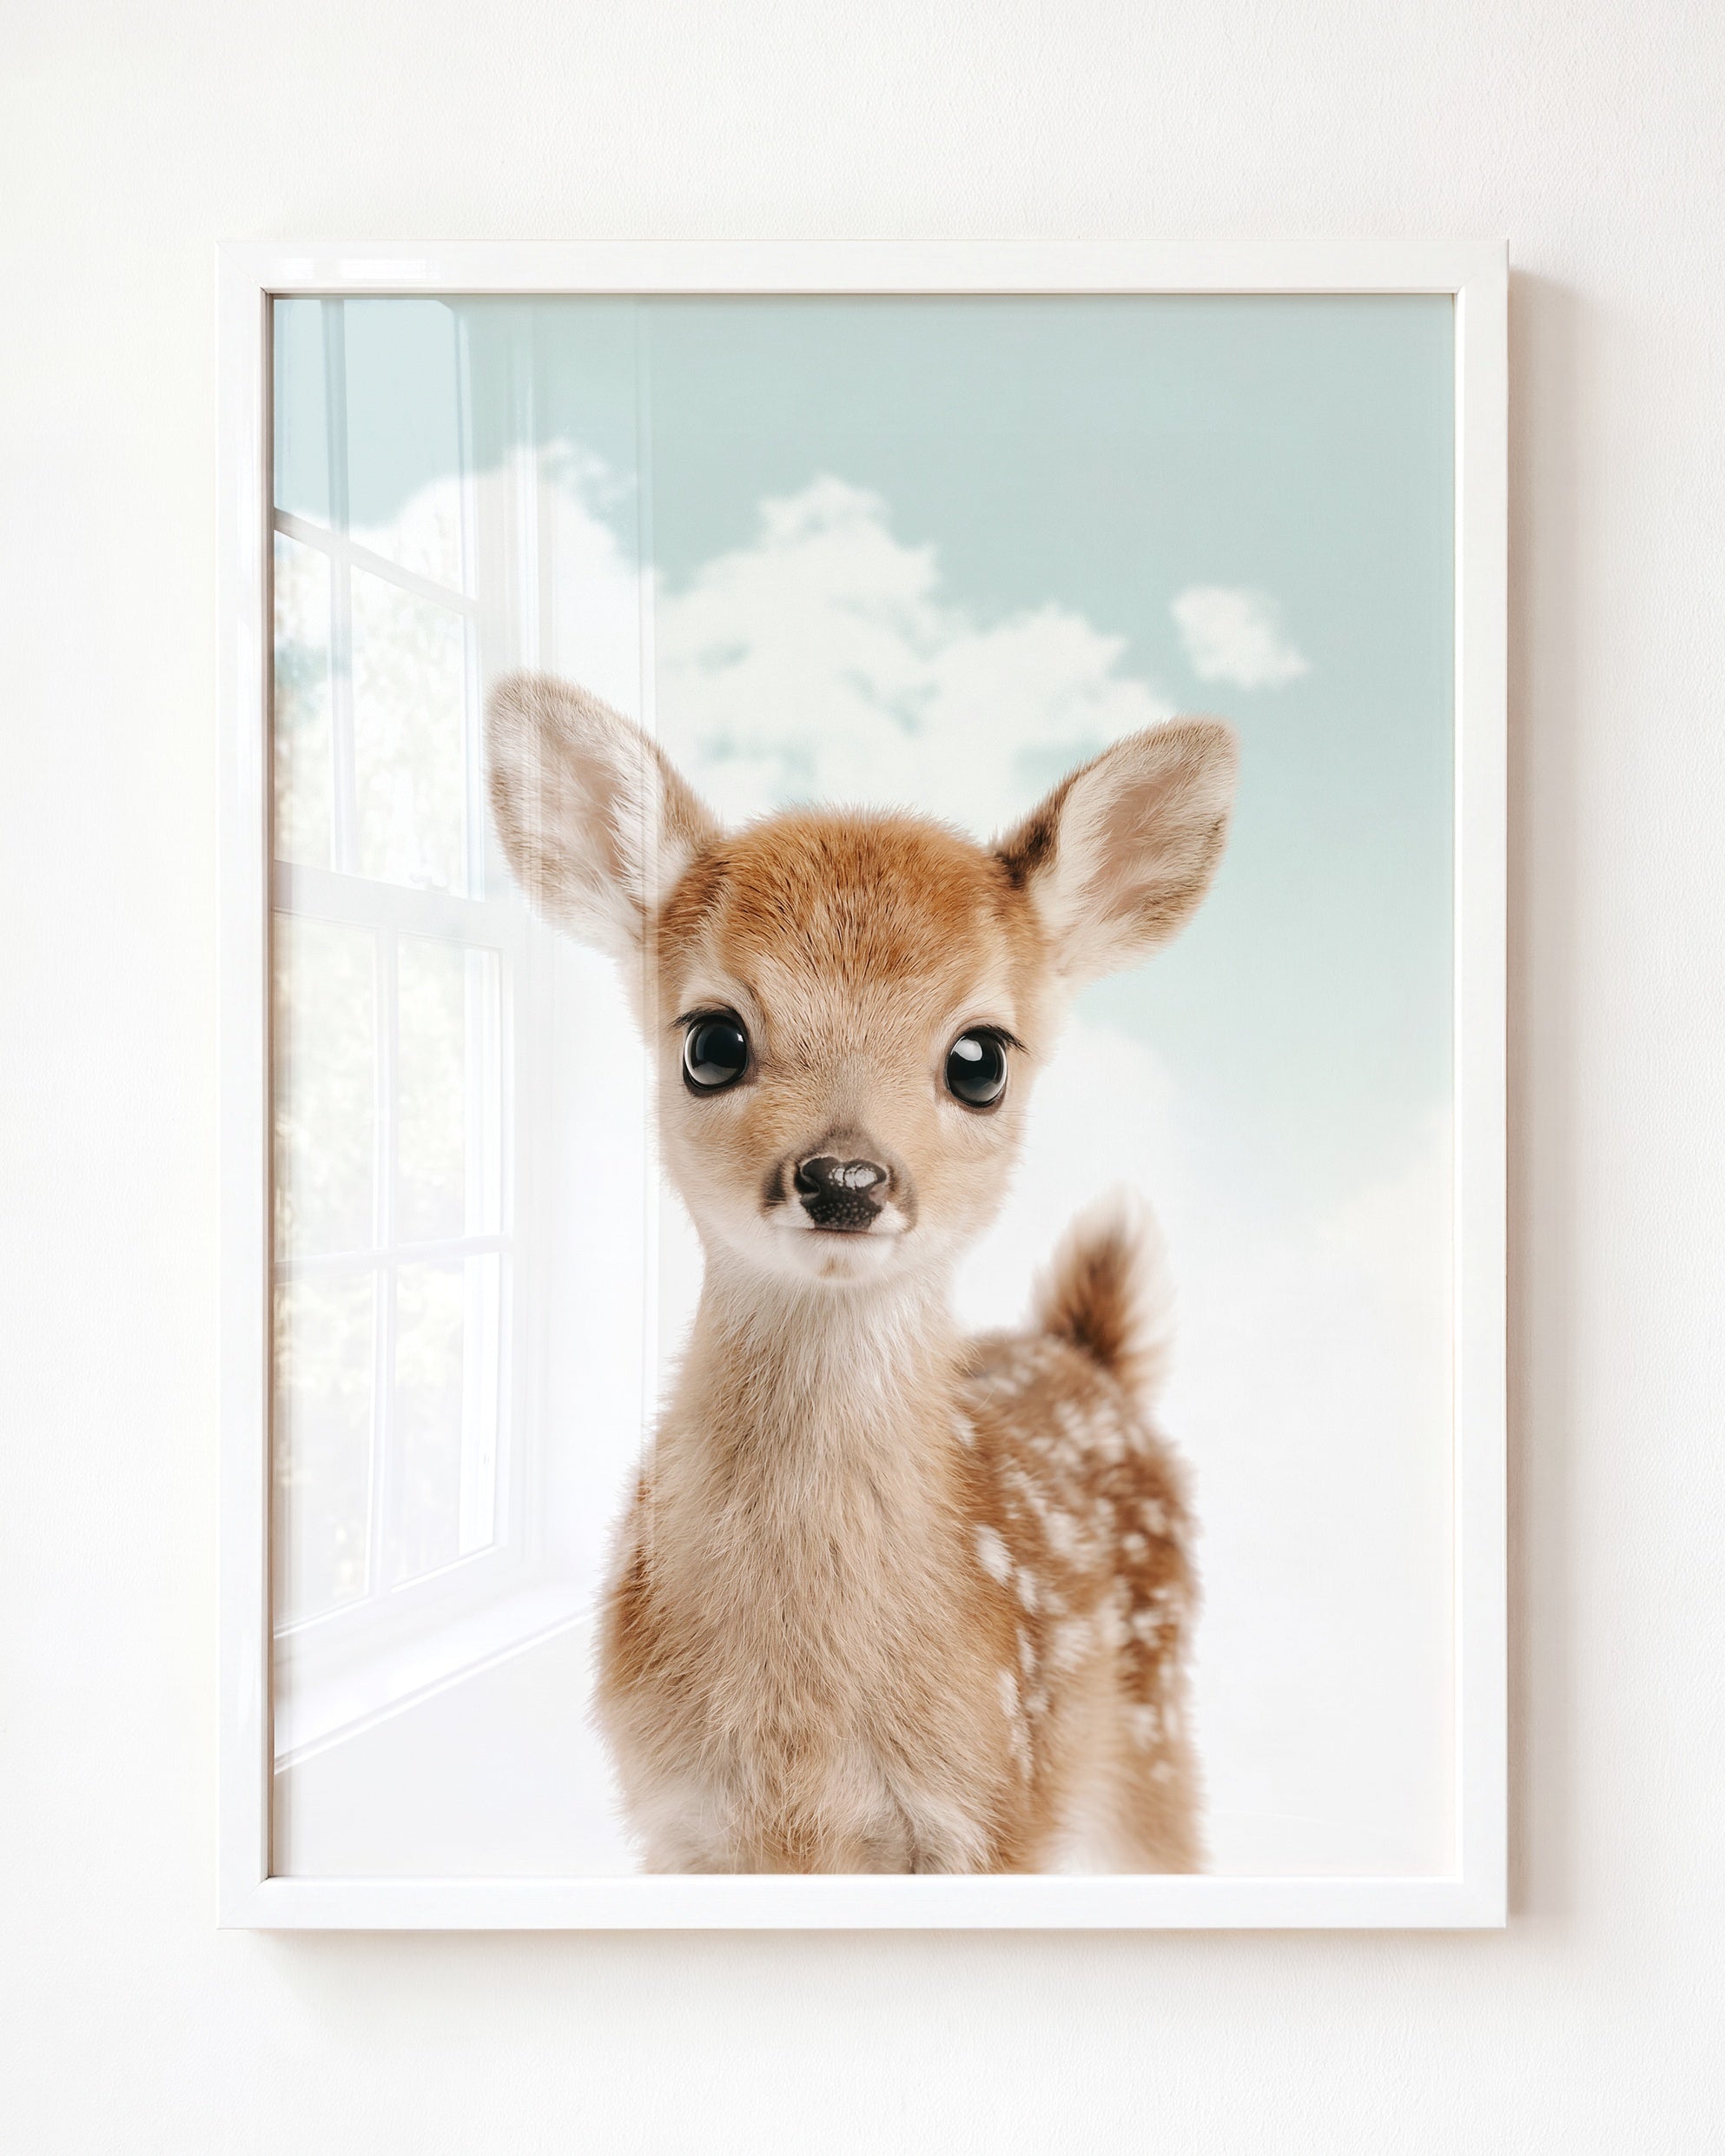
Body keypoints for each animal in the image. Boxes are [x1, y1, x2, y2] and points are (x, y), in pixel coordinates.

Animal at [486, 671, 1237, 1873]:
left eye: (980, 1058)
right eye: (711, 1041)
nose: (844, 1177)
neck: (802, 1742)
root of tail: (1089, 1354)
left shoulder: (993, 1804)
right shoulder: (677, 1819)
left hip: (1150, 1731)